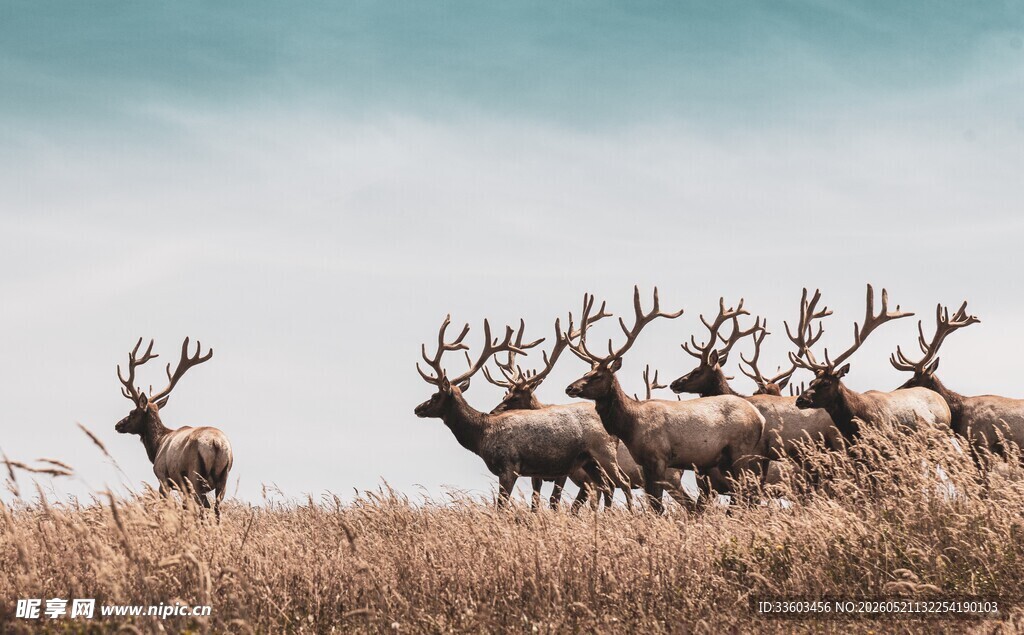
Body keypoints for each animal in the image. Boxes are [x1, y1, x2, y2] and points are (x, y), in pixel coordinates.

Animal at [114, 338, 233, 519]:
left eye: (132, 412)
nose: (118, 425)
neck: (157, 446)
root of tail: (216, 443)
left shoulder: (162, 477)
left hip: (194, 475)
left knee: (202, 506)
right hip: (223, 478)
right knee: (217, 508)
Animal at [413, 316, 632, 509]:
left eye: (435, 395)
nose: (417, 408)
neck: (481, 434)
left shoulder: (509, 465)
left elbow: (501, 506)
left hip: (603, 450)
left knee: (623, 482)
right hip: (588, 460)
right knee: (608, 486)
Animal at [564, 287, 768, 513]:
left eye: (597, 376)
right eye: (586, 372)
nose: (570, 387)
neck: (630, 425)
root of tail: (760, 419)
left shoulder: (658, 457)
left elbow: (656, 505)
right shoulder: (645, 463)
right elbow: (654, 502)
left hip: (741, 450)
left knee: (747, 490)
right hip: (726, 459)